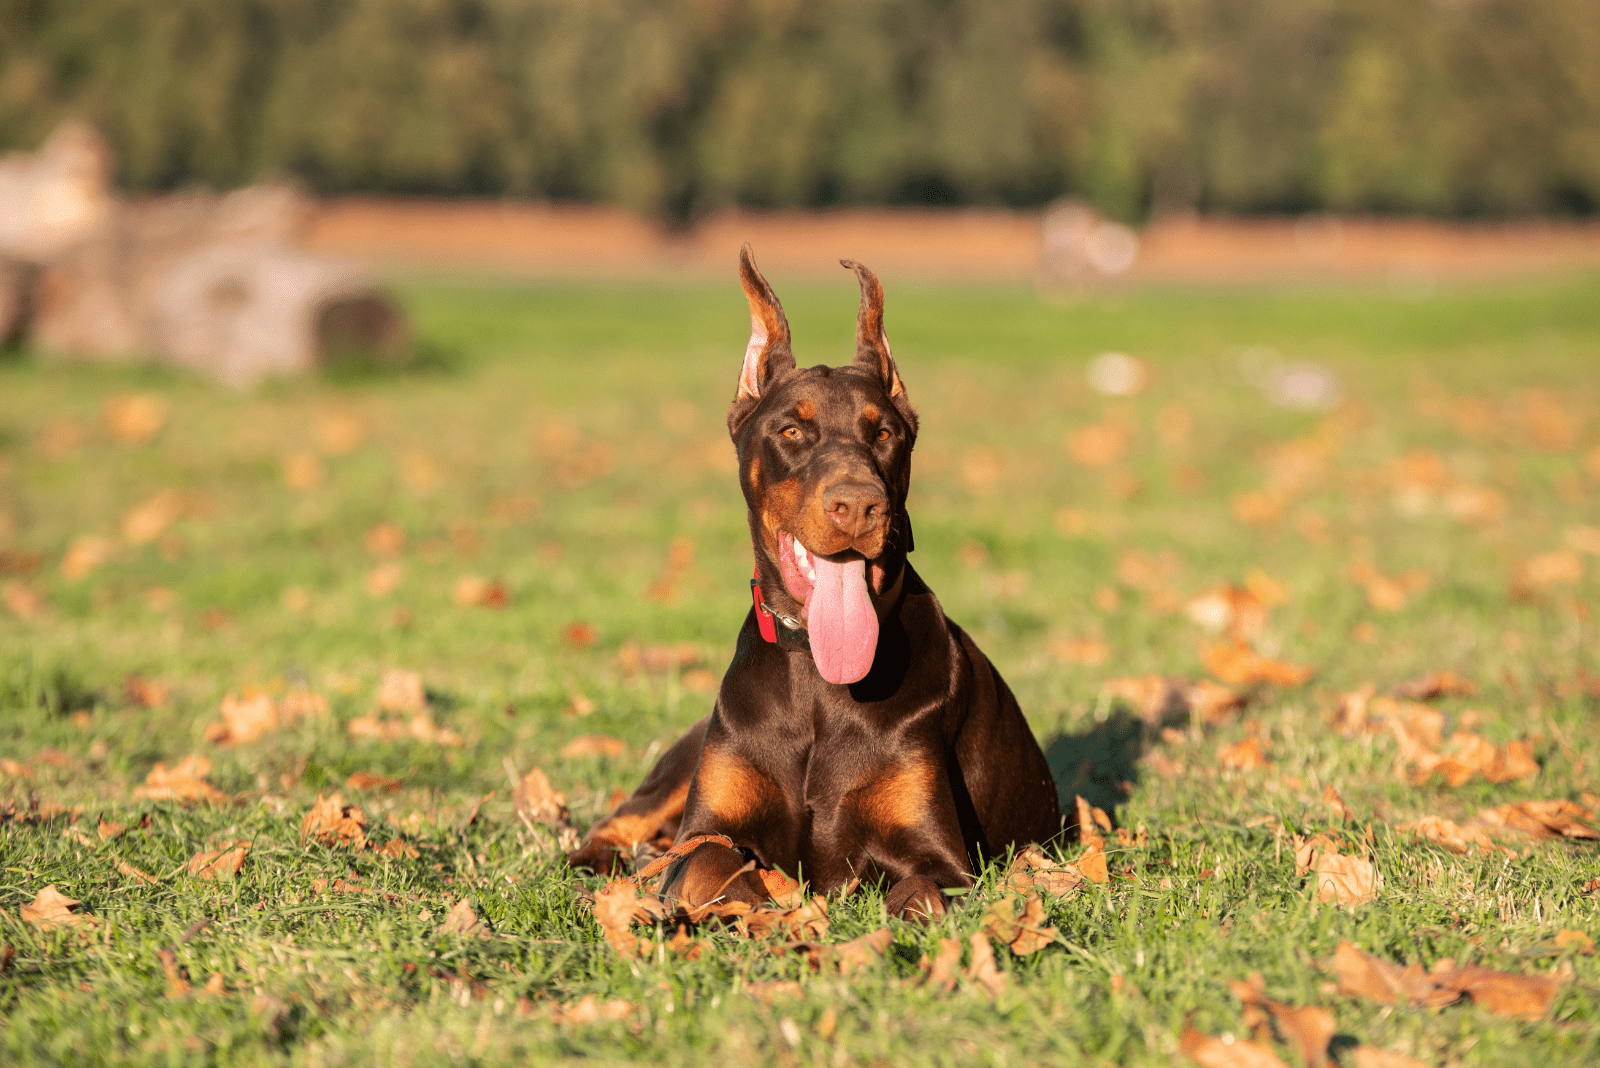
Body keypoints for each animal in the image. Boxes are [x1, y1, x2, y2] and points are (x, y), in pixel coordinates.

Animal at [572, 244, 1062, 920]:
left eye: (884, 433)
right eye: (792, 431)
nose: (857, 505)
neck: (815, 676)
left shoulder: (941, 862)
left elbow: (915, 894)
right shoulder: (706, 830)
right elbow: (712, 866)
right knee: (622, 820)